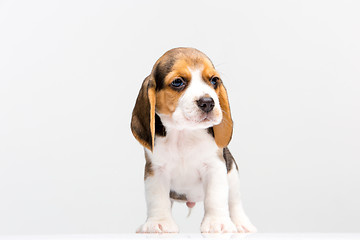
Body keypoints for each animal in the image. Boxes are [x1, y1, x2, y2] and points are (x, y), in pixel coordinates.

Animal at [131, 47, 255, 233]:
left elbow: (215, 197)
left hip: (232, 174)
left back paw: (241, 224)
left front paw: (217, 223)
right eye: (177, 82)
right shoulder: (155, 170)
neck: (184, 133)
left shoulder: (215, 167)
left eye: (214, 80)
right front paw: (159, 223)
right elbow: (157, 199)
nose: (208, 102)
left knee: (234, 202)